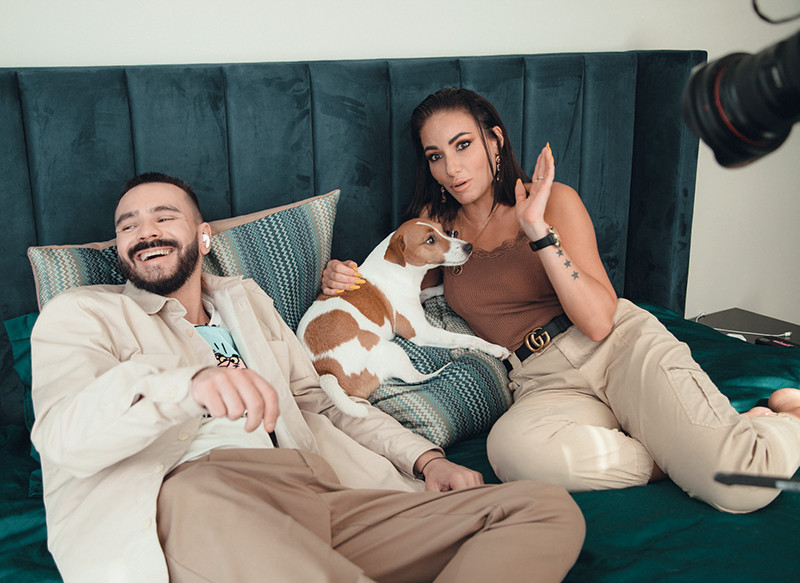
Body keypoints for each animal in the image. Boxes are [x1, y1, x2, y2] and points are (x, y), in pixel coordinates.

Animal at [296, 218, 511, 417]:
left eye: (444, 230)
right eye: (430, 240)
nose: (469, 246)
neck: (398, 270)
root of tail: (325, 371)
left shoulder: (416, 297)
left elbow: (426, 291)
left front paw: (441, 287)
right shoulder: (421, 332)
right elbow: (466, 338)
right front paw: (494, 348)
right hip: (392, 350)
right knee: (413, 378)